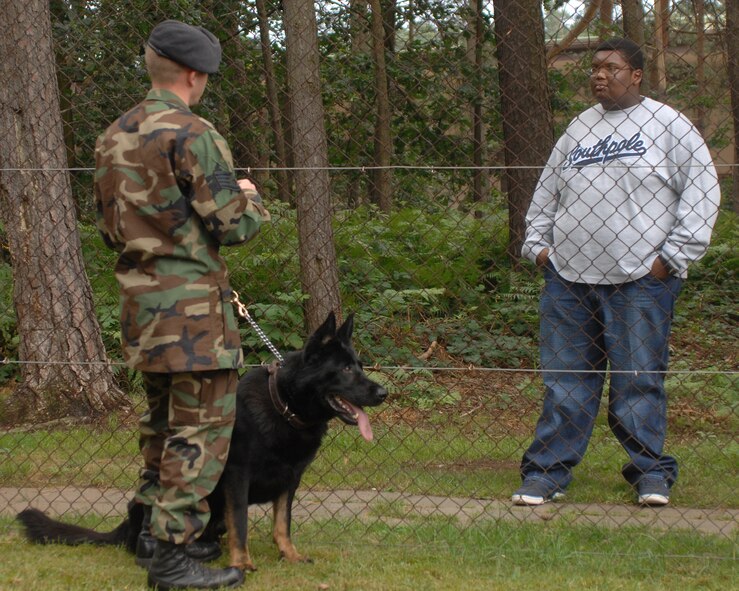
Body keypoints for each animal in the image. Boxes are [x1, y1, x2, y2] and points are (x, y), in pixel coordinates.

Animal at [17, 314, 388, 572]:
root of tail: (126, 525)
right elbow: (241, 522)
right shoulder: (237, 477)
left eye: (359, 366)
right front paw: (242, 563)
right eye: (345, 370)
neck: (283, 405)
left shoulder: (290, 481)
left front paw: (290, 555)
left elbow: (283, 524)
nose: (383, 392)